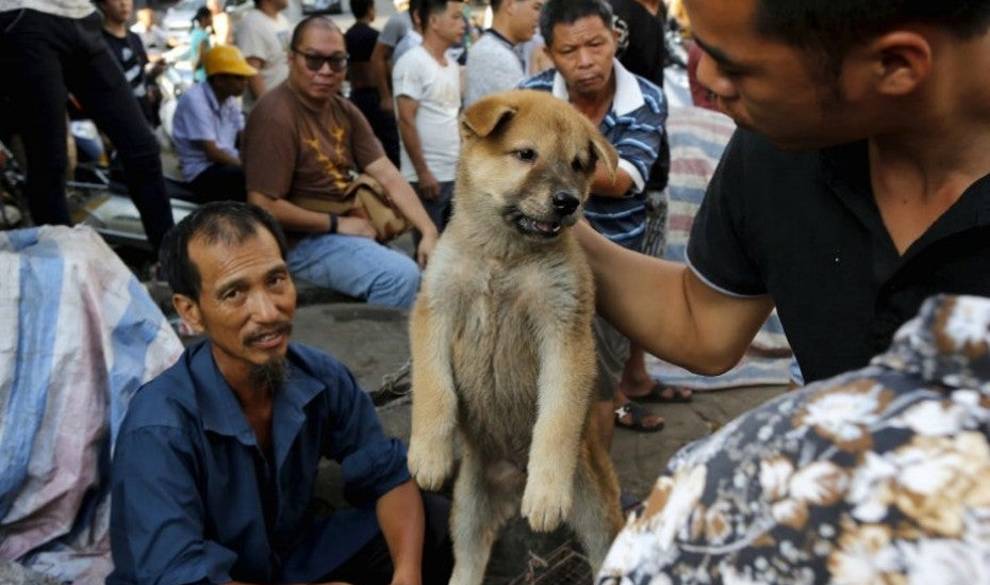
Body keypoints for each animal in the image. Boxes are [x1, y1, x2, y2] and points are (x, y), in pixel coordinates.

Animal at [406, 89, 624, 580]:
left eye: (578, 164)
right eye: (526, 154)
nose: (568, 202)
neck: (503, 257)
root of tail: (512, 479)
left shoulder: (565, 331)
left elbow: (556, 418)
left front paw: (546, 490)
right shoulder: (434, 310)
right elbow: (434, 390)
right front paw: (428, 453)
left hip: (596, 509)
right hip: (468, 508)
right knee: (469, 560)